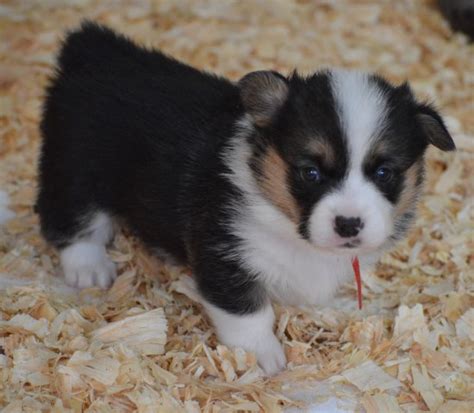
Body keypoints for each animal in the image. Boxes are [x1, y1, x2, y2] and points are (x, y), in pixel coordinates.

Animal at [37, 21, 456, 374]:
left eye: (384, 173)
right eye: (311, 172)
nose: (349, 224)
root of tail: (91, 48)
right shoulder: (225, 256)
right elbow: (249, 314)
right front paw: (262, 355)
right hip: (74, 166)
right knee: (69, 216)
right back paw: (89, 266)